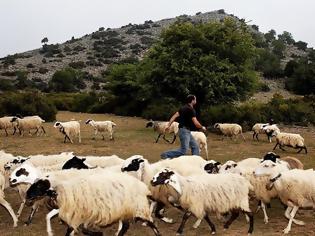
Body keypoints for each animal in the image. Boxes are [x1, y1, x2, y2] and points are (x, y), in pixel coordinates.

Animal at [25, 171, 162, 236]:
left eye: (39, 186)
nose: (27, 196)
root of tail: (143, 188)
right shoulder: (78, 215)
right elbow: (74, 229)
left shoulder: (80, 214)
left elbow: (79, 230)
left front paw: (98, 233)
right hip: (126, 210)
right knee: (126, 226)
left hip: (139, 208)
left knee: (151, 222)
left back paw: (158, 233)